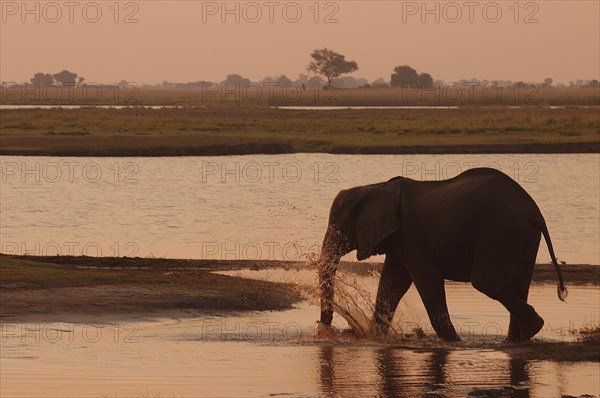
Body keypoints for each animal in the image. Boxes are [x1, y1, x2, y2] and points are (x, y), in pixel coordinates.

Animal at [316, 167, 568, 342]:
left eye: (339, 227)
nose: (324, 328)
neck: (377, 188)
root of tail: (535, 212)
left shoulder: (411, 237)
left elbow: (427, 281)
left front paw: (453, 342)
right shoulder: (400, 239)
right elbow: (391, 284)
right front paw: (377, 336)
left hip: (500, 233)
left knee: (486, 284)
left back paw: (531, 329)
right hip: (523, 238)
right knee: (518, 287)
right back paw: (517, 339)